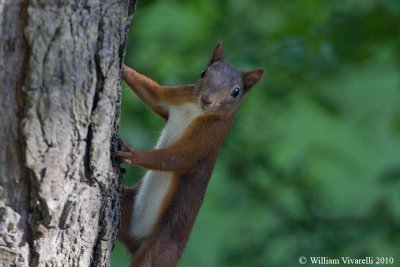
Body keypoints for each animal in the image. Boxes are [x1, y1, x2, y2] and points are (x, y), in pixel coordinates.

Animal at [117, 42, 264, 267]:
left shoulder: (209, 138)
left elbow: (176, 158)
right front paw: (123, 67)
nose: (207, 99)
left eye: (236, 92)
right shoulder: (177, 95)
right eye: (203, 73)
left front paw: (132, 155)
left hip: (158, 252)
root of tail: (134, 243)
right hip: (126, 208)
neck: (196, 110)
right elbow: (153, 93)